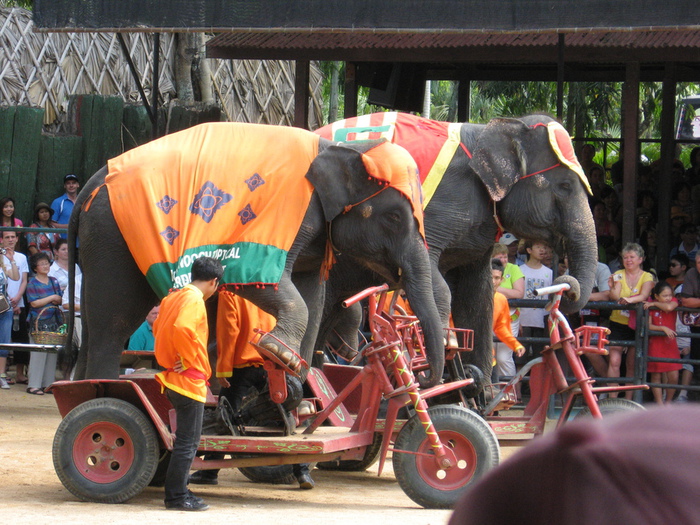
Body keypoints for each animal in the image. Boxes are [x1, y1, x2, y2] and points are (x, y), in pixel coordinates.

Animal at [69, 122, 442, 384]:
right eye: (395, 218)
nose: (424, 376)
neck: (347, 147)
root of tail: (96, 179)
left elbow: (313, 293)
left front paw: (296, 383)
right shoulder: (288, 215)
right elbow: (258, 278)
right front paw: (277, 354)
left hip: (96, 244)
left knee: (93, 321)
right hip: (113, 234)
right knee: (114, 322)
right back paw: (103, 391)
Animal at [318, 112, 596, 378]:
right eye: (565, 186)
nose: (566, 290)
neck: (487, 130)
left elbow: (477, 294)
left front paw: (479, 385)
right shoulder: (433, 210)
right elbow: (437, 278)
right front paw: (440, 355)